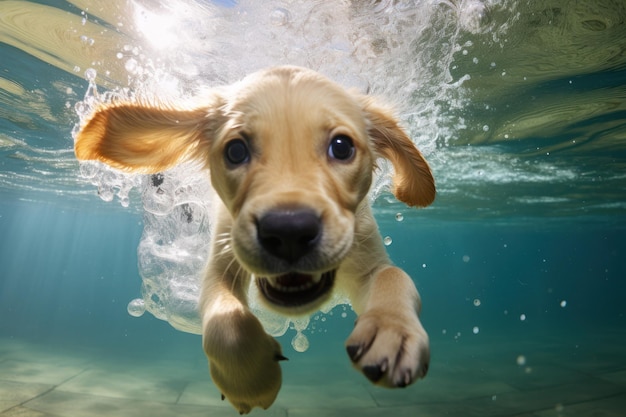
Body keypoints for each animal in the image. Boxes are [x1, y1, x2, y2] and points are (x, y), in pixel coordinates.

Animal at [74, 66, 434, 412]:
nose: (289, 232)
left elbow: (393, 277)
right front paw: (251, 381)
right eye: (236, 151)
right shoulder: (221, 260)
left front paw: (393, 331)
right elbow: (226, 324)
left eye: (342, 147)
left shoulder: (366, 257)